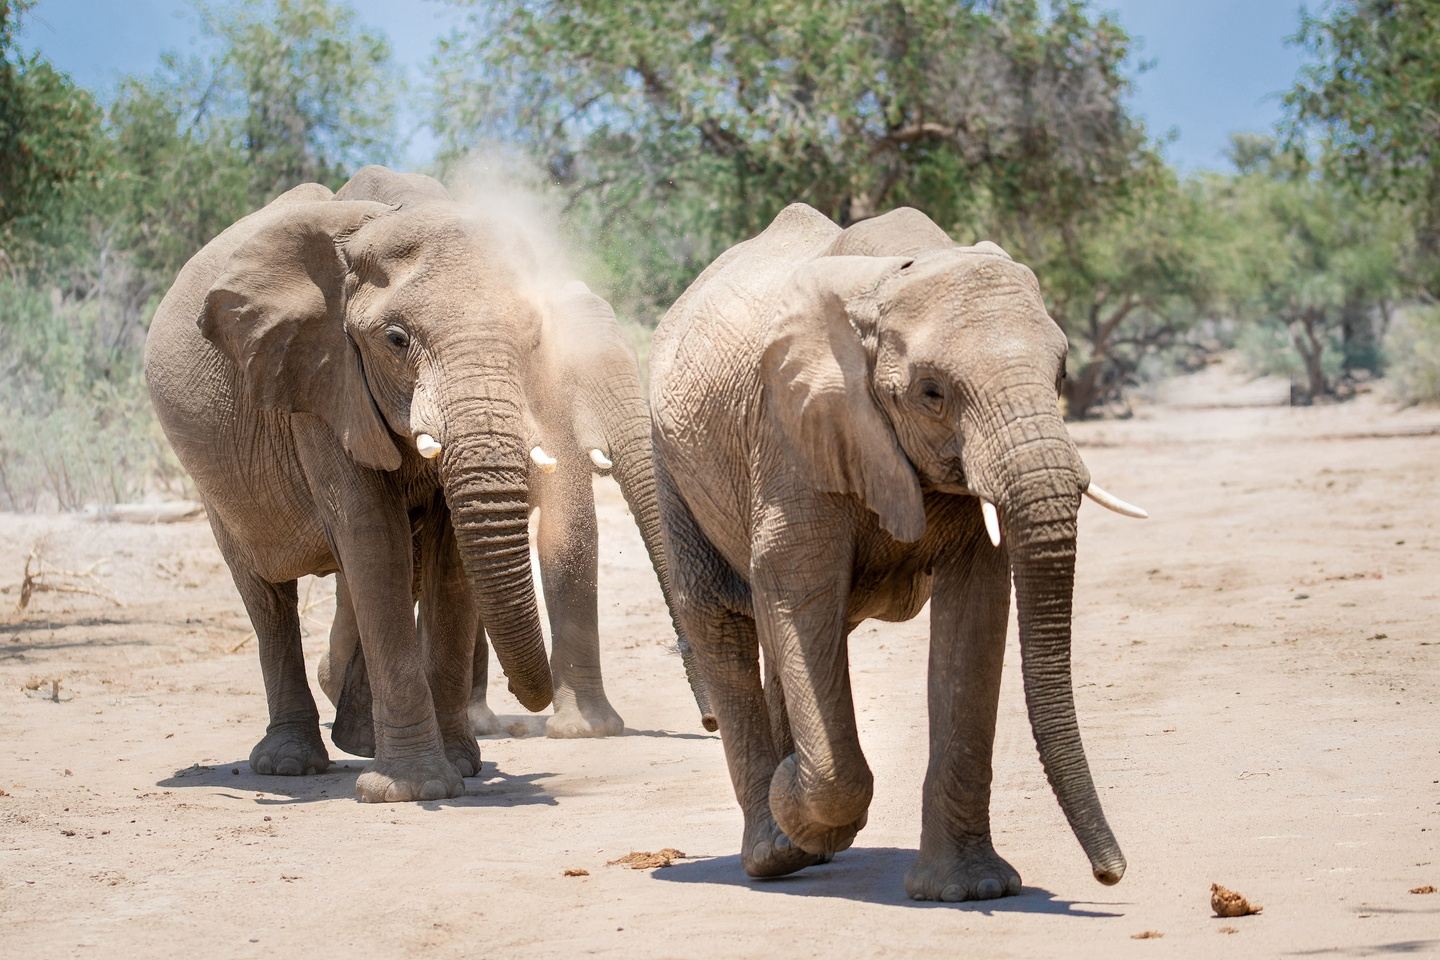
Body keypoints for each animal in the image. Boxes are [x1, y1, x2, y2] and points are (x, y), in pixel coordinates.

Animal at [144, 165, 706, 803]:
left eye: (532, 337)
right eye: (394, 339)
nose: (710, 722)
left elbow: (455, 556)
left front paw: (463, 765)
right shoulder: (320, 379)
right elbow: (373, 540)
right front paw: (413, 789)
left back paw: (360, 738)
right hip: (219, 484)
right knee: (267, 593)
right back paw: (291, 763)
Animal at [648, 203, 1147, 899]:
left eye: (1063, 374)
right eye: (932, 393)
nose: (1110, 874)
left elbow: (976, 611)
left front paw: (972, 891)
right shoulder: (792, 431)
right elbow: (795, 585)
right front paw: (793, 799)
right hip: (672, 460)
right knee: (720, 612)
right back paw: (777, 852)